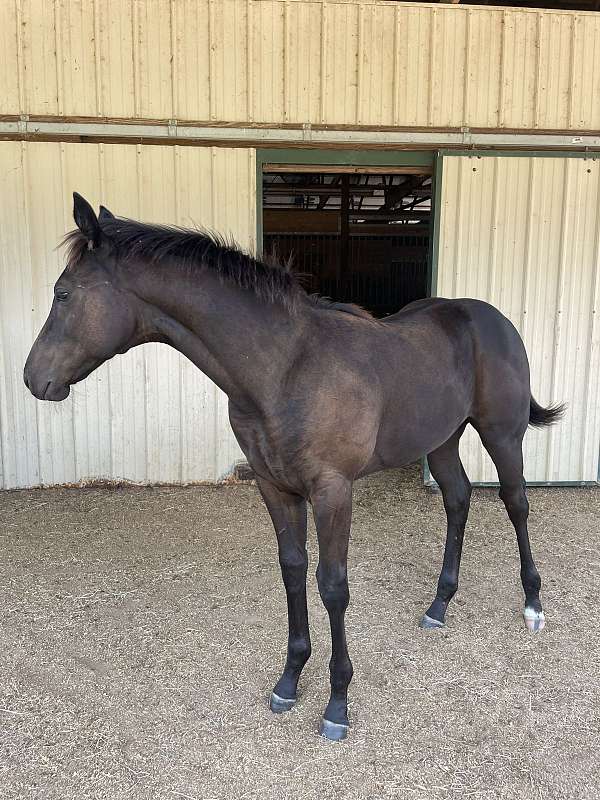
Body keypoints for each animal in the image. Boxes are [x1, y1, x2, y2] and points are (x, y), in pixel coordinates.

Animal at [24, 192, 563, 741]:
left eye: (62, 294)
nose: (33, 378)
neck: (284, 369)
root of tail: (491, 318)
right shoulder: (275, 487)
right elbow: (293, 571)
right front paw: (289, 680)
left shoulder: (333, 491)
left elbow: (333, 586)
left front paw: (337, 703)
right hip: (442, 440)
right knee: (457, 499)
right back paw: (439, 606)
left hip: (502, 435)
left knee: (515, 503)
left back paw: (533, 606)